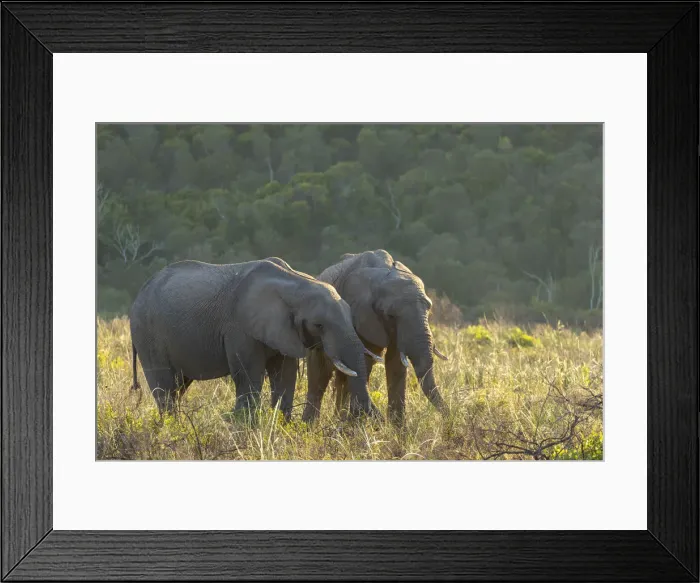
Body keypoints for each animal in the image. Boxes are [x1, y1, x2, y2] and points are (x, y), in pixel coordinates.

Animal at [129, 257, 382, 421]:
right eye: (319, 325)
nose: (374, 419)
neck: (296, 283)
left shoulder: (284, 332)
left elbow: (285, 375)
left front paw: (280, 428)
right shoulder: (239, 327)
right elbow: (248, 375)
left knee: (178, 386)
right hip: (147, 334)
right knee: (164, 387)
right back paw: (172, 428)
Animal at [301, 250, 449, 425]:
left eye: (429, 308)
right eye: (391, 315)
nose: (449, 417)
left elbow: (395, 364)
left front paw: (398, 429)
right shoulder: (359, 316)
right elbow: (363, 363)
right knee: (320, 374)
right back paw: (311, 426)